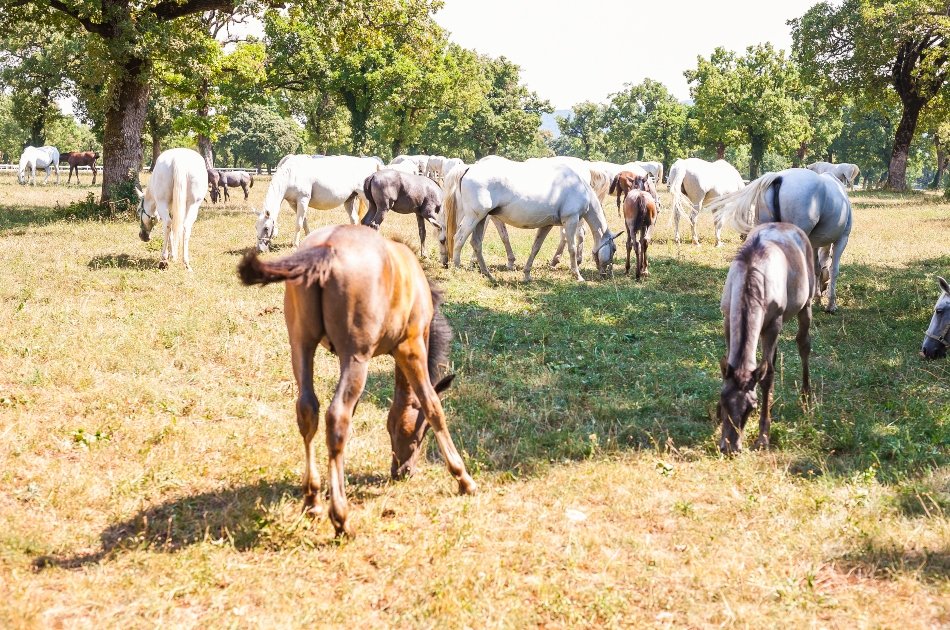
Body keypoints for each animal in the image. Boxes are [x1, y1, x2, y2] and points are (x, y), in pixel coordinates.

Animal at [238, 225, 476, 536]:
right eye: (420, 432)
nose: (402, 471)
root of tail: (326, 249)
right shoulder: (410, 347)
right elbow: (432, 405)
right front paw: (463, 477)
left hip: (301, 345)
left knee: (308, 410)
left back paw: (313, 501)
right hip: (356, 357)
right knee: (336, 416)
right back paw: (340, 517)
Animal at [442, 158, 620, 284]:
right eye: (614, 249)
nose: (607, 274)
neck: (578, 186)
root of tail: (469, 167)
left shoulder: (547, 225)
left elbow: (535, 248)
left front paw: (527, 274)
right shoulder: (571, 220)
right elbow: (572, 249)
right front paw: (577, 275)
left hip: (482, 218)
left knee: (476, 243)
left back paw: (488, 274)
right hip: (474, 217)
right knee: (459, 239)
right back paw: (457, 269)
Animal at [708, 168, 856, 314]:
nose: (823, 291)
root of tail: (778, 177)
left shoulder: (814, 244)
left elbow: (817, 268)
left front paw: (818, 297)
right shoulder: (842, 239)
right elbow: (833, 270)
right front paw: (830, 304)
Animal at [720, 225, 820, 456]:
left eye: (751, 407)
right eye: (723, 400)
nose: (730, 448)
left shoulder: (774, 324)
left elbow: (768, 377)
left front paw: (763, 438)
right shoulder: (728, 321)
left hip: (805, 305)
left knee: (803, 344)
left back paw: (805, 396)